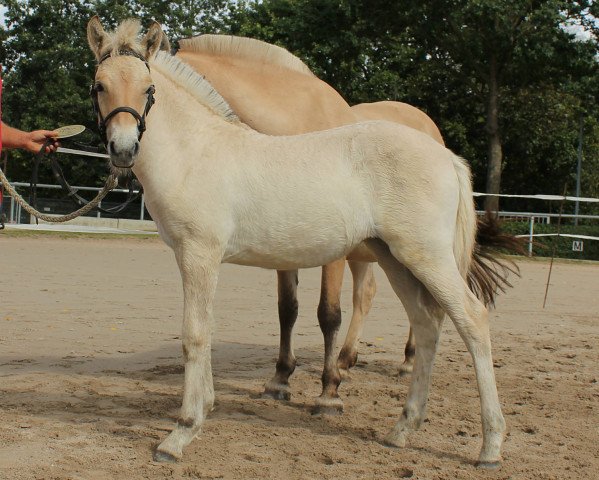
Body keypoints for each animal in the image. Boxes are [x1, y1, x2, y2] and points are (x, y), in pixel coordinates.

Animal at [88, 16, 510, 466]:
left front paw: (181, 433)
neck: (198, 150)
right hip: (395, 259)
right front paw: (207, 410)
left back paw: (489, 446)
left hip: (427, 256)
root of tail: (446, 156)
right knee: (427, 323)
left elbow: (195, 334)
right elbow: (218, 328)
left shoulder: (199, 254)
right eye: (99, 85)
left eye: (149, 89)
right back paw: (402, 430)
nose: (124, 150)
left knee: (472, 319)